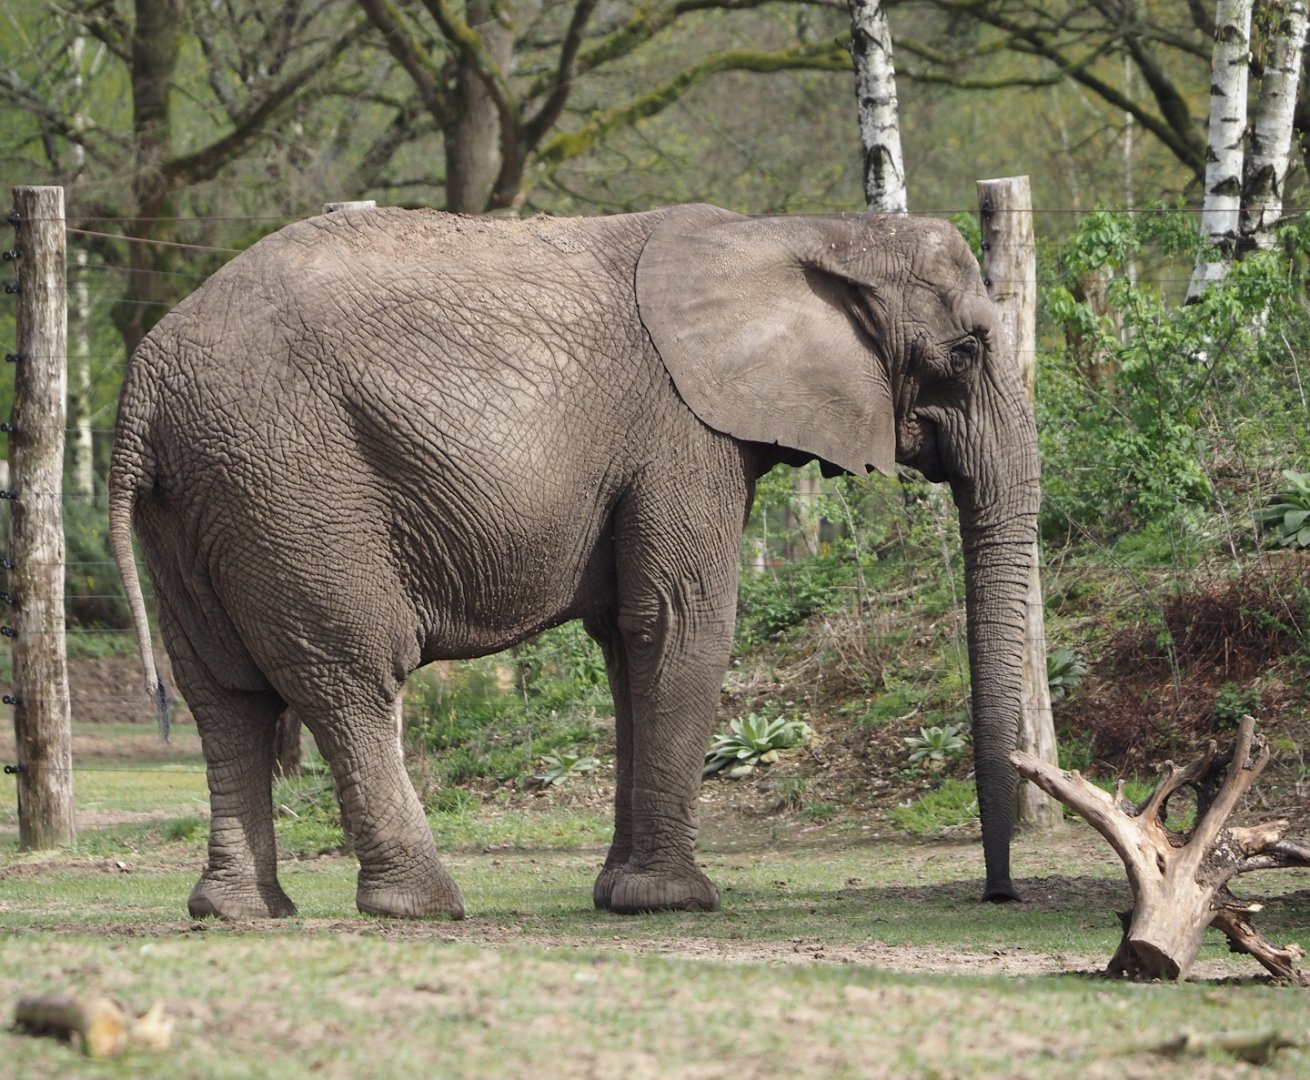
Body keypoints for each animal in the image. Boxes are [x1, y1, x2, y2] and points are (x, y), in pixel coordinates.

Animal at [108, 203, 1039, 920]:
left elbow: (629, 640)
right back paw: (424, 906)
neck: (805, 230)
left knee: (224, 697)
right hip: (291, 486)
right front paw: (673, 902)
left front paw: (621, 893)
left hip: (200, 498)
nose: (999, 895)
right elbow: (679, 622)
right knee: (352, 680)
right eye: (965, 351)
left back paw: (239, 913)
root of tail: (143, 387)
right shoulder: (681, 433)